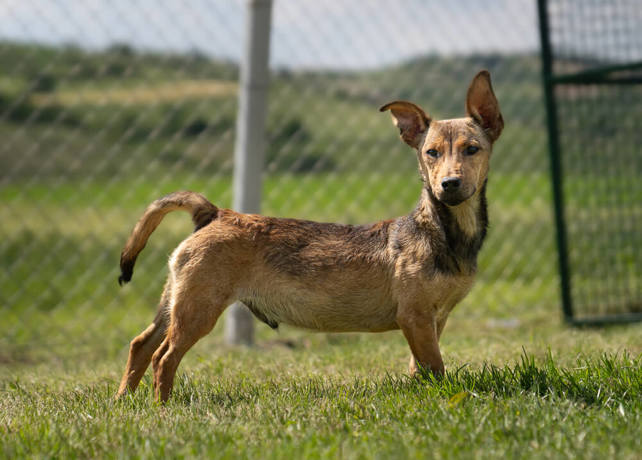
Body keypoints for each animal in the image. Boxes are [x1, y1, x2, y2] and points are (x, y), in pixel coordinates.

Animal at [115, 70, 503, 402]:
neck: (441, 229)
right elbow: (435, 366)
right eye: (430, 153)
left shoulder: (434, 319)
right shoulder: (416, 317)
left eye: (472, 149)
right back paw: (162, 406)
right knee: (164, 357)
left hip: (176, 300)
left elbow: (420, 367)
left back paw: (125, 401)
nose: (449, 184)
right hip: (198, 307)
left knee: (141, 344)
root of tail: (213, 213)